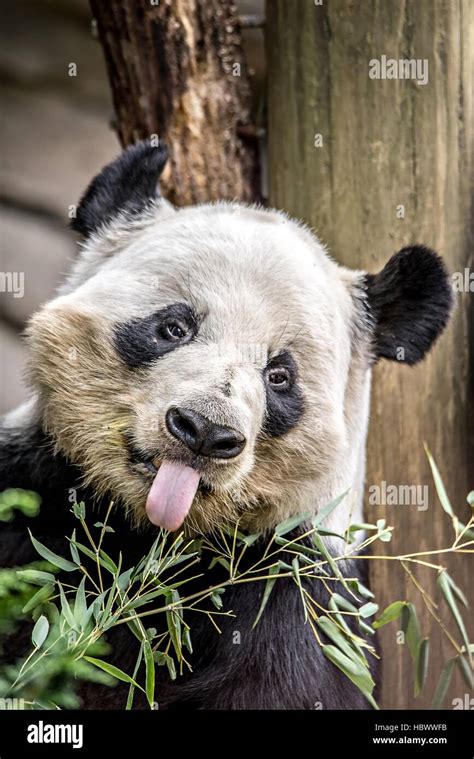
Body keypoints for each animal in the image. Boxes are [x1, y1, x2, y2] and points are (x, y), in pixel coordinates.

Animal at [0, 140, 452, 708]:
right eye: (174, 326)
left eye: (280, 375)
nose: (203, 431)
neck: (156, 537)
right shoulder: (36, 487)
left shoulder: (297, 588)